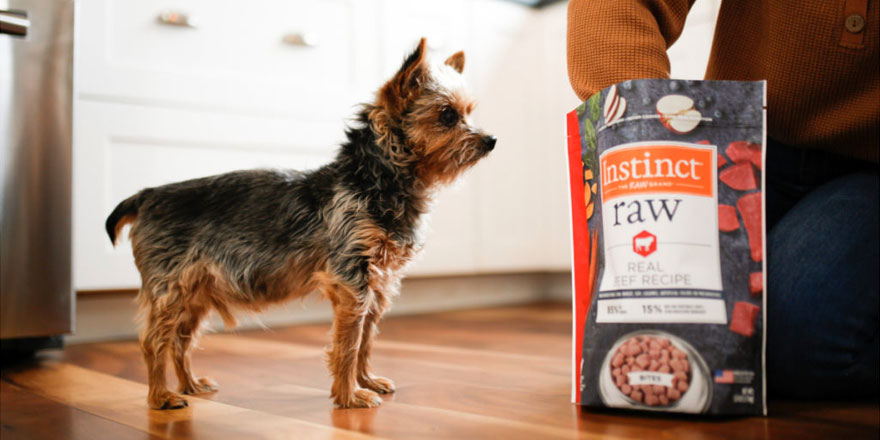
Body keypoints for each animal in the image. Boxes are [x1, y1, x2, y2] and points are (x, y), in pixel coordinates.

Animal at [103, 38, 496, 410]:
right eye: (447, 115)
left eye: (469, 113)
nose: (491, 140)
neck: (374, 180)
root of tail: (146, 196)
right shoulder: (351, 279)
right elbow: (348, 344)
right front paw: (351, 396)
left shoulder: (378, 285)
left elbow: (366, 340)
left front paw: (367, 381)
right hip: (170, 289)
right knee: (154, 342)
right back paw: (161, 397)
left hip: (196, 293)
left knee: (180, 342)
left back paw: (190, 385)